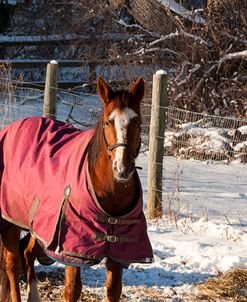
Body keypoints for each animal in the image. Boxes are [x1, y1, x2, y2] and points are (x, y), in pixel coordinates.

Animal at [0, 78, 152, 302]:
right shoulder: (73, 252)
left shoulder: (117, 252)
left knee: (27, 253)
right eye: (108, 122)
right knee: (12, 262)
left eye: (138, 122)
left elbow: (114, 290)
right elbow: (72, 290)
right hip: (11, 220)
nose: (122, 168)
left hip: (40, 226)